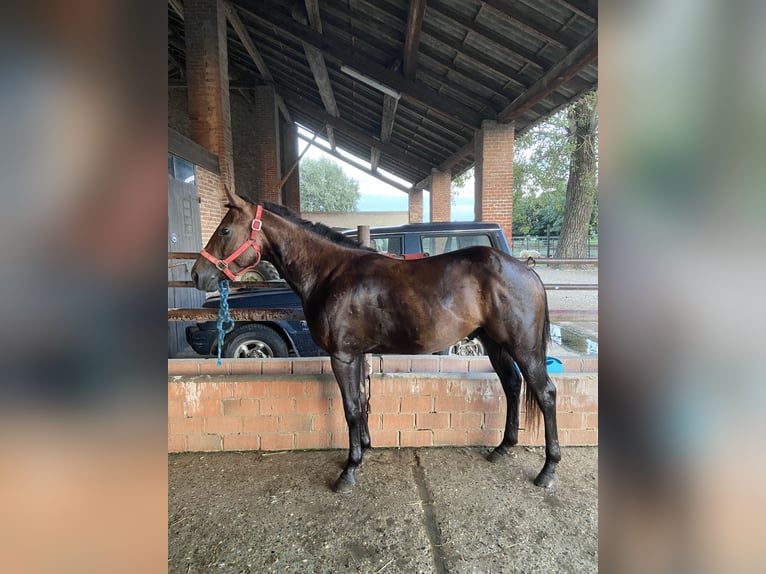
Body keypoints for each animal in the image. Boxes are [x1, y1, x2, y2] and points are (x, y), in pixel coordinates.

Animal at [190, 191, 564, 492]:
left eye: (225, 230)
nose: (197, 275)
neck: (330, 274)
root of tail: (527, 269)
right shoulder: (354, 354)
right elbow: (360, 401)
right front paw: (365, 449)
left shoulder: (341, 355)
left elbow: (351, 408)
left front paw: (348, 470)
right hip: (495, 344)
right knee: (512, 386)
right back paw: (503, 448)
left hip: (524, 348)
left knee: (545, 393)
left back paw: (548, 470)